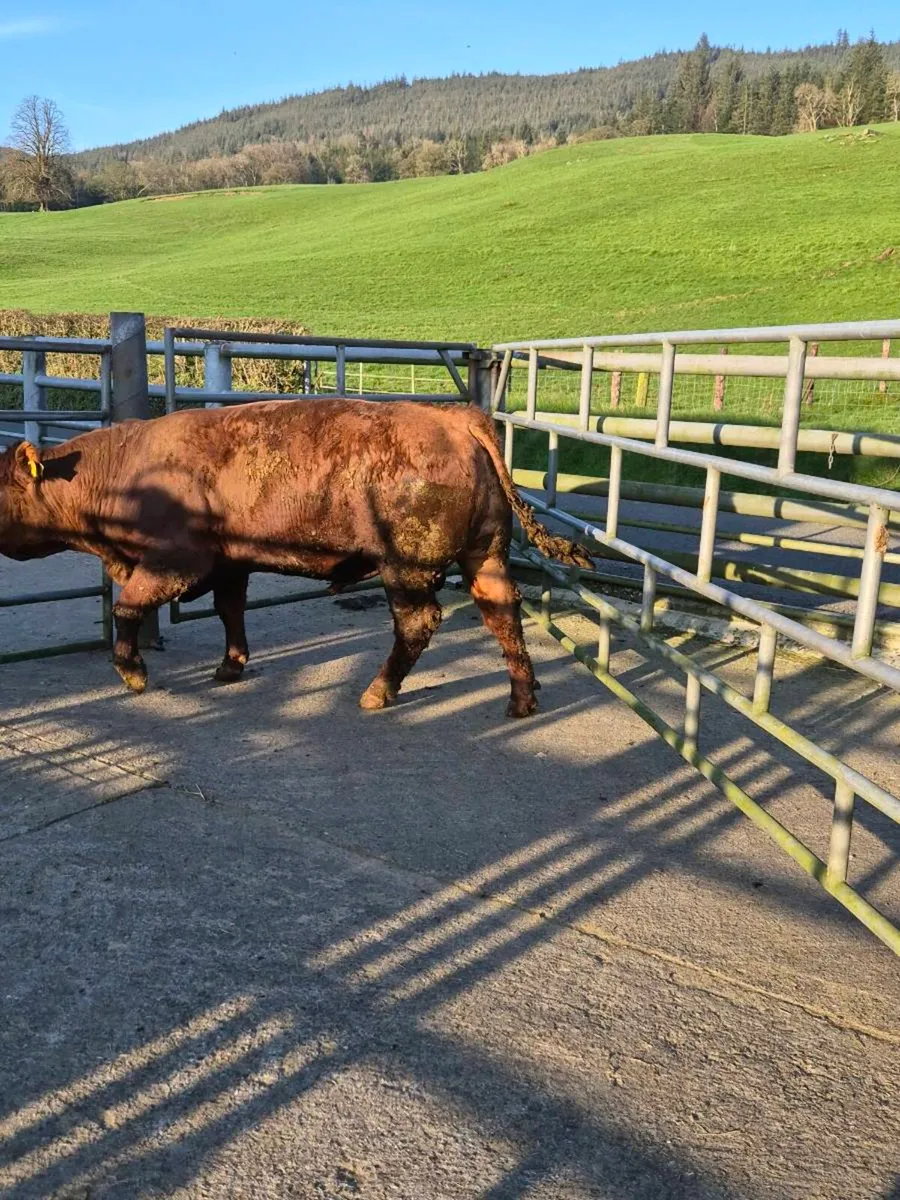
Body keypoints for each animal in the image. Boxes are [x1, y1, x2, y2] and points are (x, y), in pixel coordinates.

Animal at [0, 399, 591, 717]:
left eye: (0, 486)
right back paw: (521, 698)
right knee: (502, 612)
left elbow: (128, 606)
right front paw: (230, 666)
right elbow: (230, 611)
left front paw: (133, 673)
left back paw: (377, 692)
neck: (126, 467)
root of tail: (455, 417)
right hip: (483, 556)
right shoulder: (230, 565)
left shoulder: (175, 562)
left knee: (419, 622)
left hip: (405, 569)